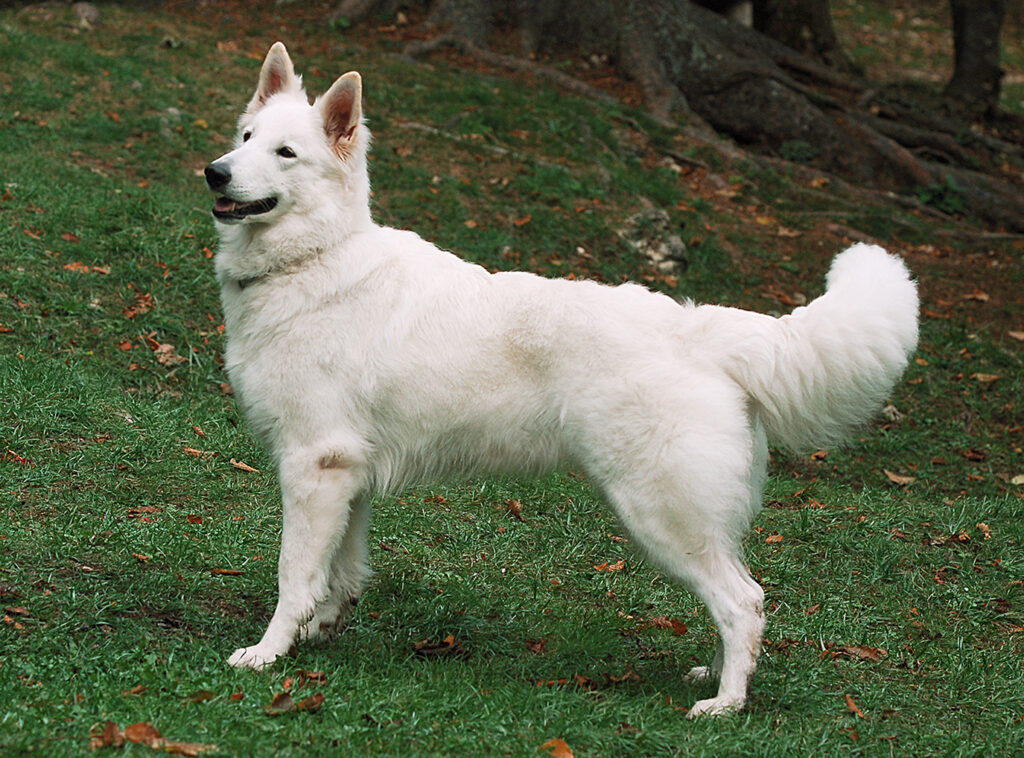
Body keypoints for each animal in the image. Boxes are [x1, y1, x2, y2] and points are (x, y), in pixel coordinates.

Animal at [203, 41, 917, 717]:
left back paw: (726, 703)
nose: (215, 171)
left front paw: (268, 653)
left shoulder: (313, 465)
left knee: (744, 601)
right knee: (738, 601)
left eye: (285, 153)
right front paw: (319, 633)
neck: (317, 258)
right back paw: (713, 676)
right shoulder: (347, 475)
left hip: (660, 514)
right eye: (245, 137)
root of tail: (697, 328)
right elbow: (338, 574)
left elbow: (294, 573)